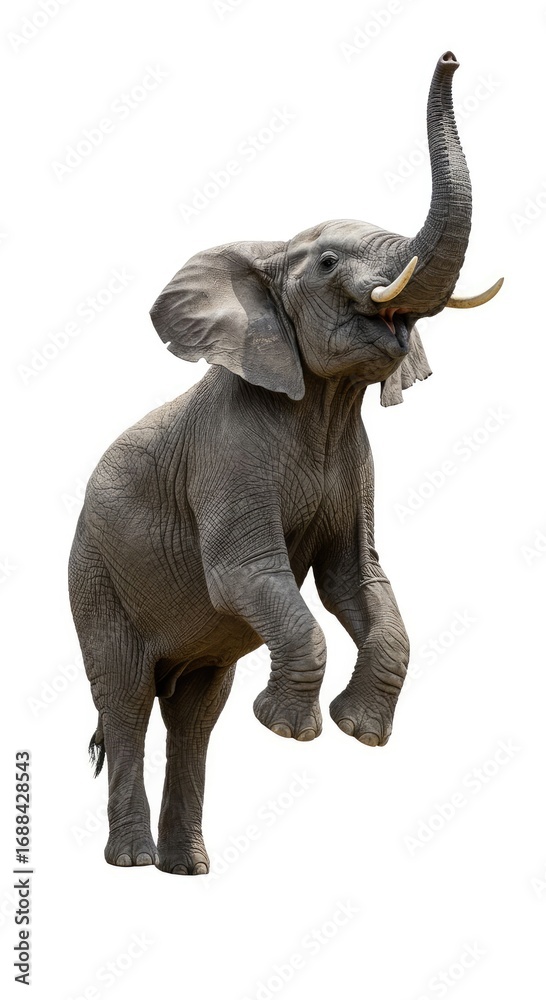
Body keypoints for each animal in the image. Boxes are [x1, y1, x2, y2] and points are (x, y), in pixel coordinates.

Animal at [68, 51, 502, 875]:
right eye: (329, 260)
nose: (451, 56)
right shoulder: (229, 449)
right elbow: (247, 572)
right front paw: (287, 730)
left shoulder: (356, 462)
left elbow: (356, 581)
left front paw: (358, 733)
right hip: (94, 579)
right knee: (128, 699)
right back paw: (134, 863)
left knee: (197, 714)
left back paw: (189, 870)